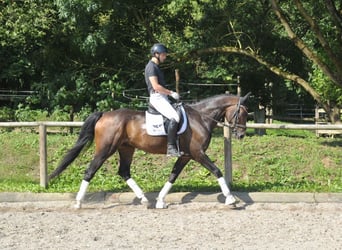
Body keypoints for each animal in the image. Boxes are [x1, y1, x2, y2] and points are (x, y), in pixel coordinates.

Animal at [49, 93, 250, 208]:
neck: (200, 118)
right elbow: (217, 170)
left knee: (124, 171)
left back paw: (144, 199)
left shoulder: (186, 156)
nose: (241, 135)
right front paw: (231, 199)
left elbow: (173, 175)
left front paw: (160, 200)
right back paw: (78, 202)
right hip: (105, 149)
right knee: (90, 171)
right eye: (241, 113)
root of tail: (105, 114)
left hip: (126, 149)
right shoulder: (198, 153)